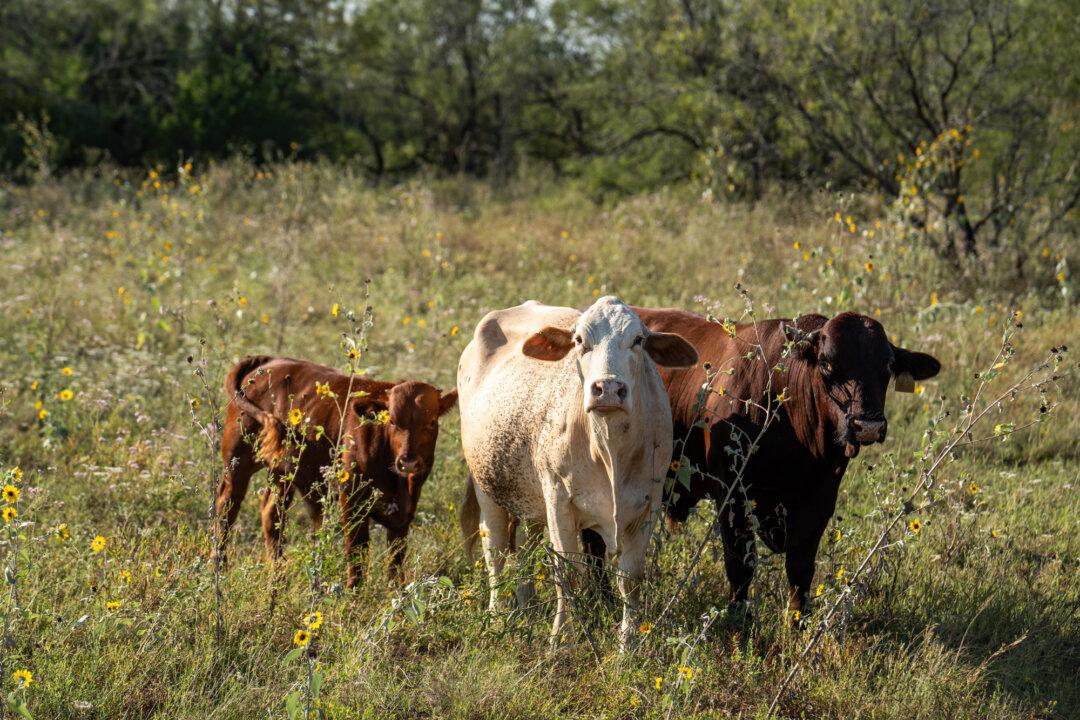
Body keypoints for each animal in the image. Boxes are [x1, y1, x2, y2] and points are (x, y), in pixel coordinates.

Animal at [214, 355, 457, 587]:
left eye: (432, 422)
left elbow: (395, 559)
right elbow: (357, 549)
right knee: (226, 507)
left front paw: (395, 593)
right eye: (393, 422)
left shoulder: (405, 511)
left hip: (281, 471)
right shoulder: (350, 498)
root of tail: (266, 360)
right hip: (237, 461)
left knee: (271, 513)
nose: (408, 462)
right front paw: (354, 592)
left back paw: (278, 576)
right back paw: (220, 568)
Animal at [457, 296, 698, 648]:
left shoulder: (647, 506)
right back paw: (497, 616)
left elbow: (630, 578)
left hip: (530, 496)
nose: (608, 388)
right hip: (487, 488)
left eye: (638, 340)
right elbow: (568, 572)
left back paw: (526, 605)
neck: (609, 449)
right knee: (496, 553)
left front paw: (628, 643)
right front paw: (563, 639)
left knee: (525, 547)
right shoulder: (559, 500)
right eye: (580, 340)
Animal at [577, 308, 941, 615]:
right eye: (827, 365)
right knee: (594, 543)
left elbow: (800, 567)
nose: (867, 425)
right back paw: (601, 600)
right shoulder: (732, 497)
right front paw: (740, 623)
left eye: (887, 367)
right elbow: (741, 565)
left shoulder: (820, 500)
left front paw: (797, 623)